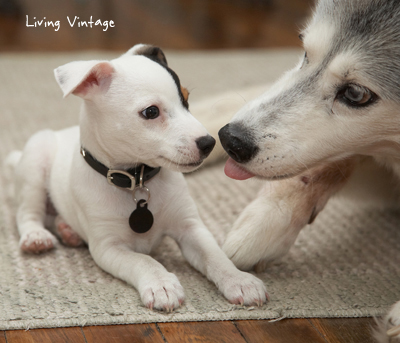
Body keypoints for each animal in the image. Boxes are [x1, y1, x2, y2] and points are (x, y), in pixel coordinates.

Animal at [4, 45, 268, 312]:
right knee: (27, 214)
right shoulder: (108, 248)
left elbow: (215, 255)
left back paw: (67, 230)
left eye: (186, 100)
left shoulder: (190, 227)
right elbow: (143, 261)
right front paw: (161, 284)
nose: (209, 143)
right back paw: (36, 237)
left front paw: (239, 280)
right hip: (35, 163)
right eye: (151, 112)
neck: (137, 180)